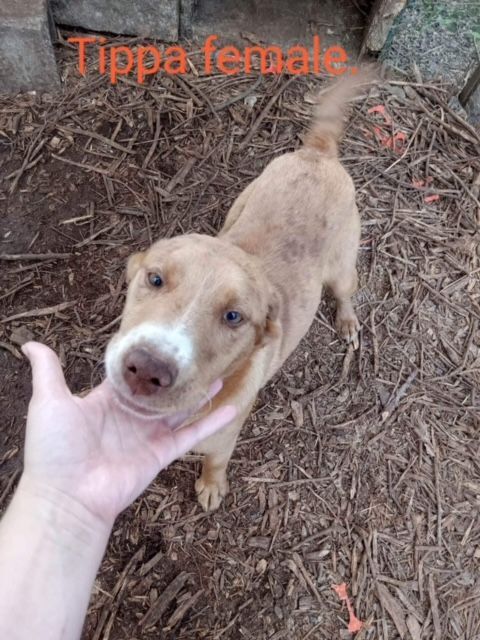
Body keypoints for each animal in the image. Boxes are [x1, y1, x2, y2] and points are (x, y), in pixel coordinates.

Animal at [104, 71, 368, 510]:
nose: (146, 369)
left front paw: (211, 486)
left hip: (343, 265)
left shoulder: (224, 437)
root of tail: (318, 154)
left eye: (233, 317)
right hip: (240, 205)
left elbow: (216, 462)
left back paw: (347, 321)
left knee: (347, 290)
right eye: (155, 279)